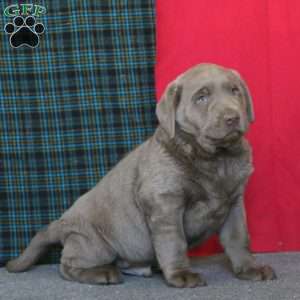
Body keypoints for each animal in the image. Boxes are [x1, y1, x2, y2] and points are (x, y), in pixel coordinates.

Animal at [5, 63, 276, 288]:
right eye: (202, 97)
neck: (216, 159)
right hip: (93, 243)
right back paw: (102, 274)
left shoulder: (234, 202)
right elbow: (174, 242)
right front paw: (181, 275)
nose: (233, 117)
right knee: (67, 265)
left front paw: (250, 268)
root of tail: (62, 223)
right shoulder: (165, 204)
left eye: (235, 91)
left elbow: (238, 238)